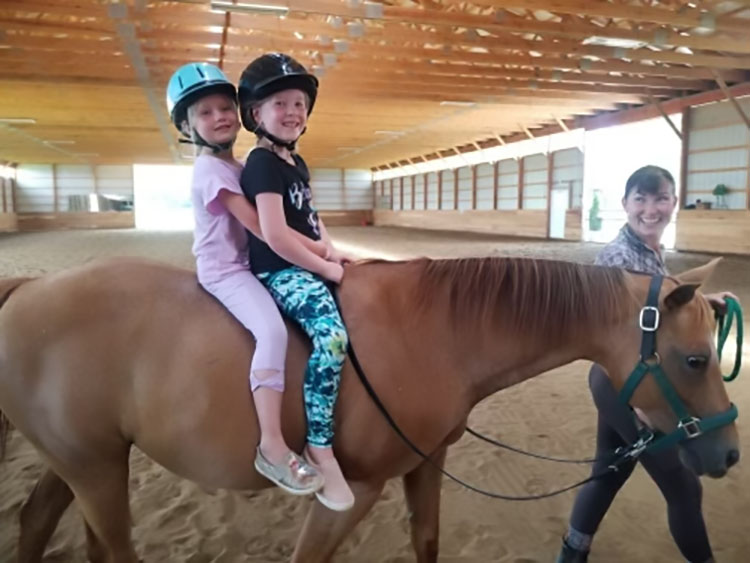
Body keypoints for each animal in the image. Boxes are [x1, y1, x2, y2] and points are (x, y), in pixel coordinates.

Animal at [0, 256, 740, 563]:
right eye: (694, 359)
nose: (729, 452)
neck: (438, 329)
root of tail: (28, 288)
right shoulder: (352, 493)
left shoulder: (426, 465)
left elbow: (427, 542)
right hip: (96, 472)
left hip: (83, 463)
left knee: (38, 519)